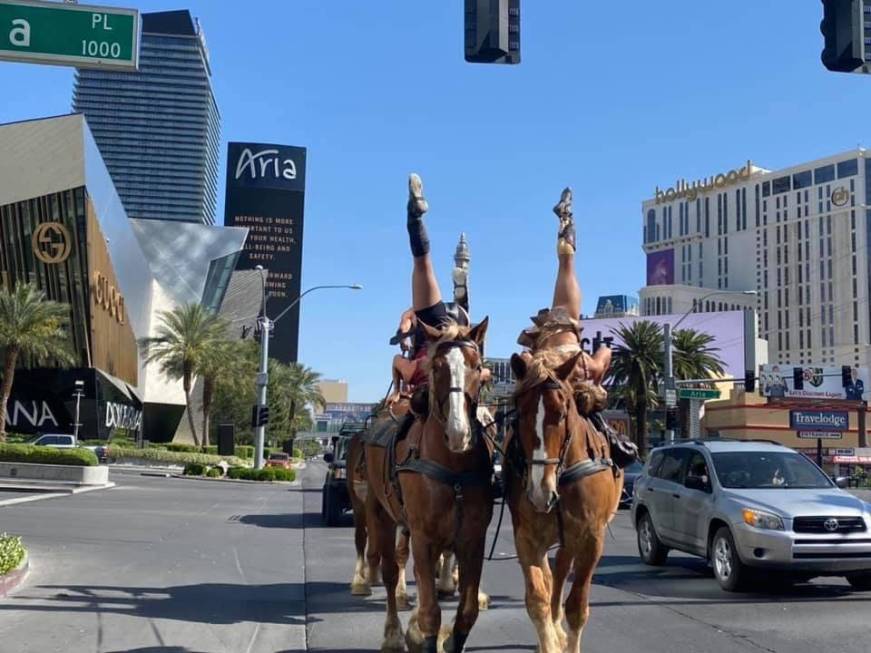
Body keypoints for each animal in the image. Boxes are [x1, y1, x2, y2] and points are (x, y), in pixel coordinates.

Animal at [364, 320, 494, 652]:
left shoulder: (472, 539)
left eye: (477, 367)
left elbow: (467, 611)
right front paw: (419, 634)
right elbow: (430, 613)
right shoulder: (423, 537)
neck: (453, 468)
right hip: (380, 512)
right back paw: (393, 633)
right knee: (389, 572)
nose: (458, 432)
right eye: (436, 367)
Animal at [508, 352, 624, 652]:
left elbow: (577, 607)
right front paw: (548, 640)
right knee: (553, 575)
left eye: (561, 414)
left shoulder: (591, 538)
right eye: (519, 414)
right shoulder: (526, 537)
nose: (540, 491)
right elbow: (537, 598)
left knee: (561, 569)